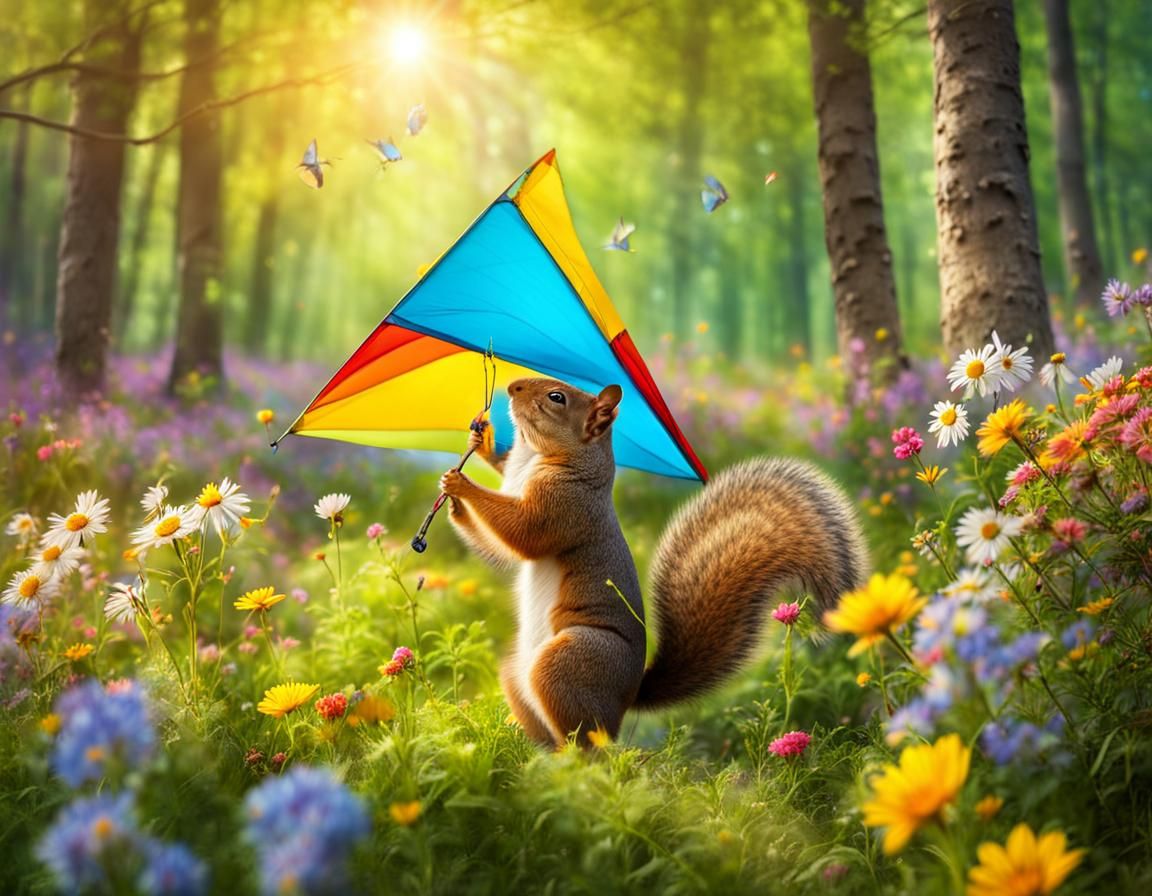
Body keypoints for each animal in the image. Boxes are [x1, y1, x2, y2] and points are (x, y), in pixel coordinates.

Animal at [438, 377, 868, 748]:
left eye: (557, 397)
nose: (512, 387)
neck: (537, 458)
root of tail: (624, 703)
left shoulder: (566, 506)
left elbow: (522, 533)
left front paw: (461, 485)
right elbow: (497, 543)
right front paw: (478, 446)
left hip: (570, 660)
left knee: (589, 747)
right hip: (517, 672)